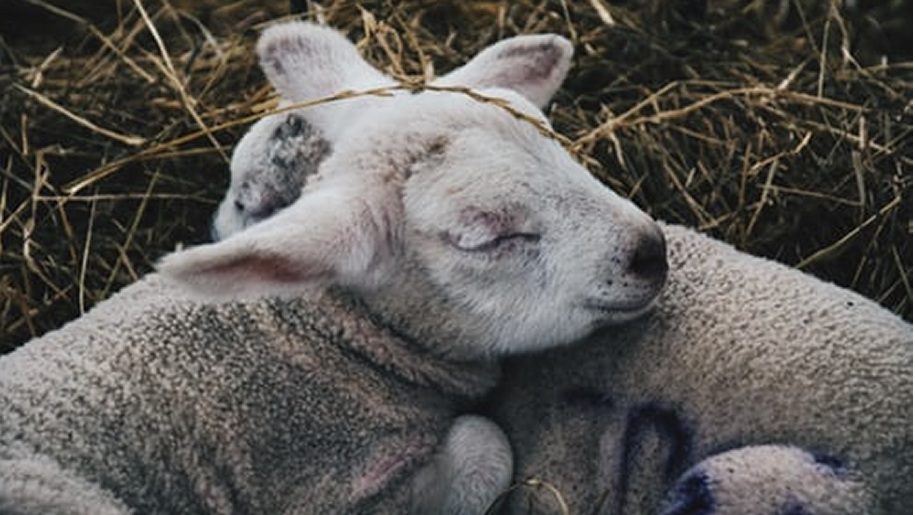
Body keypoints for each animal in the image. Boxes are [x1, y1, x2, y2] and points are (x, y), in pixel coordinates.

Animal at [0, 22, 668, 512]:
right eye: (485, 235)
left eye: (557, 145)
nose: (652, 252)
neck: (324, 333)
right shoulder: (331, 488)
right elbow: (487, 443)